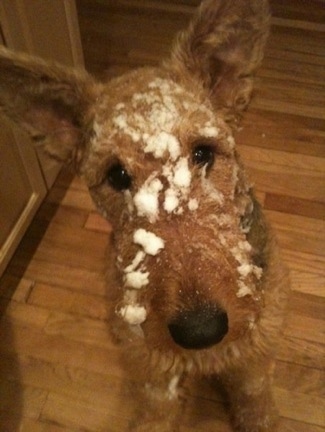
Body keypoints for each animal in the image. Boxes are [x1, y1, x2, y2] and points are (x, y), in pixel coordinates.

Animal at [0, 1, 288, 430]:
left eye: (203, 152)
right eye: (117, 175)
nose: (200, 331)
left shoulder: (253, 364)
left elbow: (257, 406)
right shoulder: (156, 381)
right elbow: (155, 415)